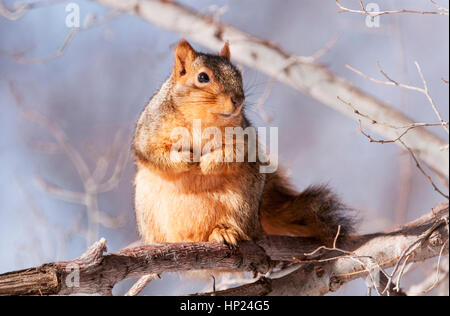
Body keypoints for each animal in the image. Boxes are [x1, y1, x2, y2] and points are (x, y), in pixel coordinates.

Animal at [132, 39, 354, 248]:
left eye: (238, 74)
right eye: (202, 77)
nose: (238, 100)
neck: (201, 119)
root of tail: (258, 221)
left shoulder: (243, 138)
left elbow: (233, 153)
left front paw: (207, 164)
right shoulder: (149, 132)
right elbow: (153, 152)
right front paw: (187, 158)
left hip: (241, 202)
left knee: (241, 227)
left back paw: (224, 231)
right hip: (147, 205)